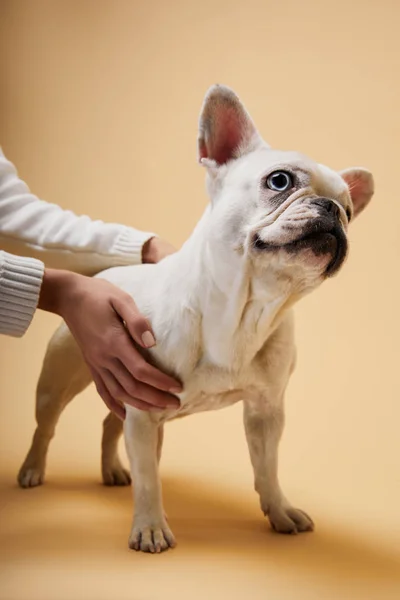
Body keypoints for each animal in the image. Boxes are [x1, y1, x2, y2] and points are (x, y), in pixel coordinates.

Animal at [18, 84, 376, 552]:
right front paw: (150, 527)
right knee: (46, 427)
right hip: (58, 383)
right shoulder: (144, 409)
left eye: (350, 210)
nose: (333, 208)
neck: (245, 309)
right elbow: (149, 480)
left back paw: (112, 470)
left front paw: (280, 511)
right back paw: (32, 470)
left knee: (111, 424)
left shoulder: (265, 412)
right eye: (279, 180)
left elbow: (267, 468)